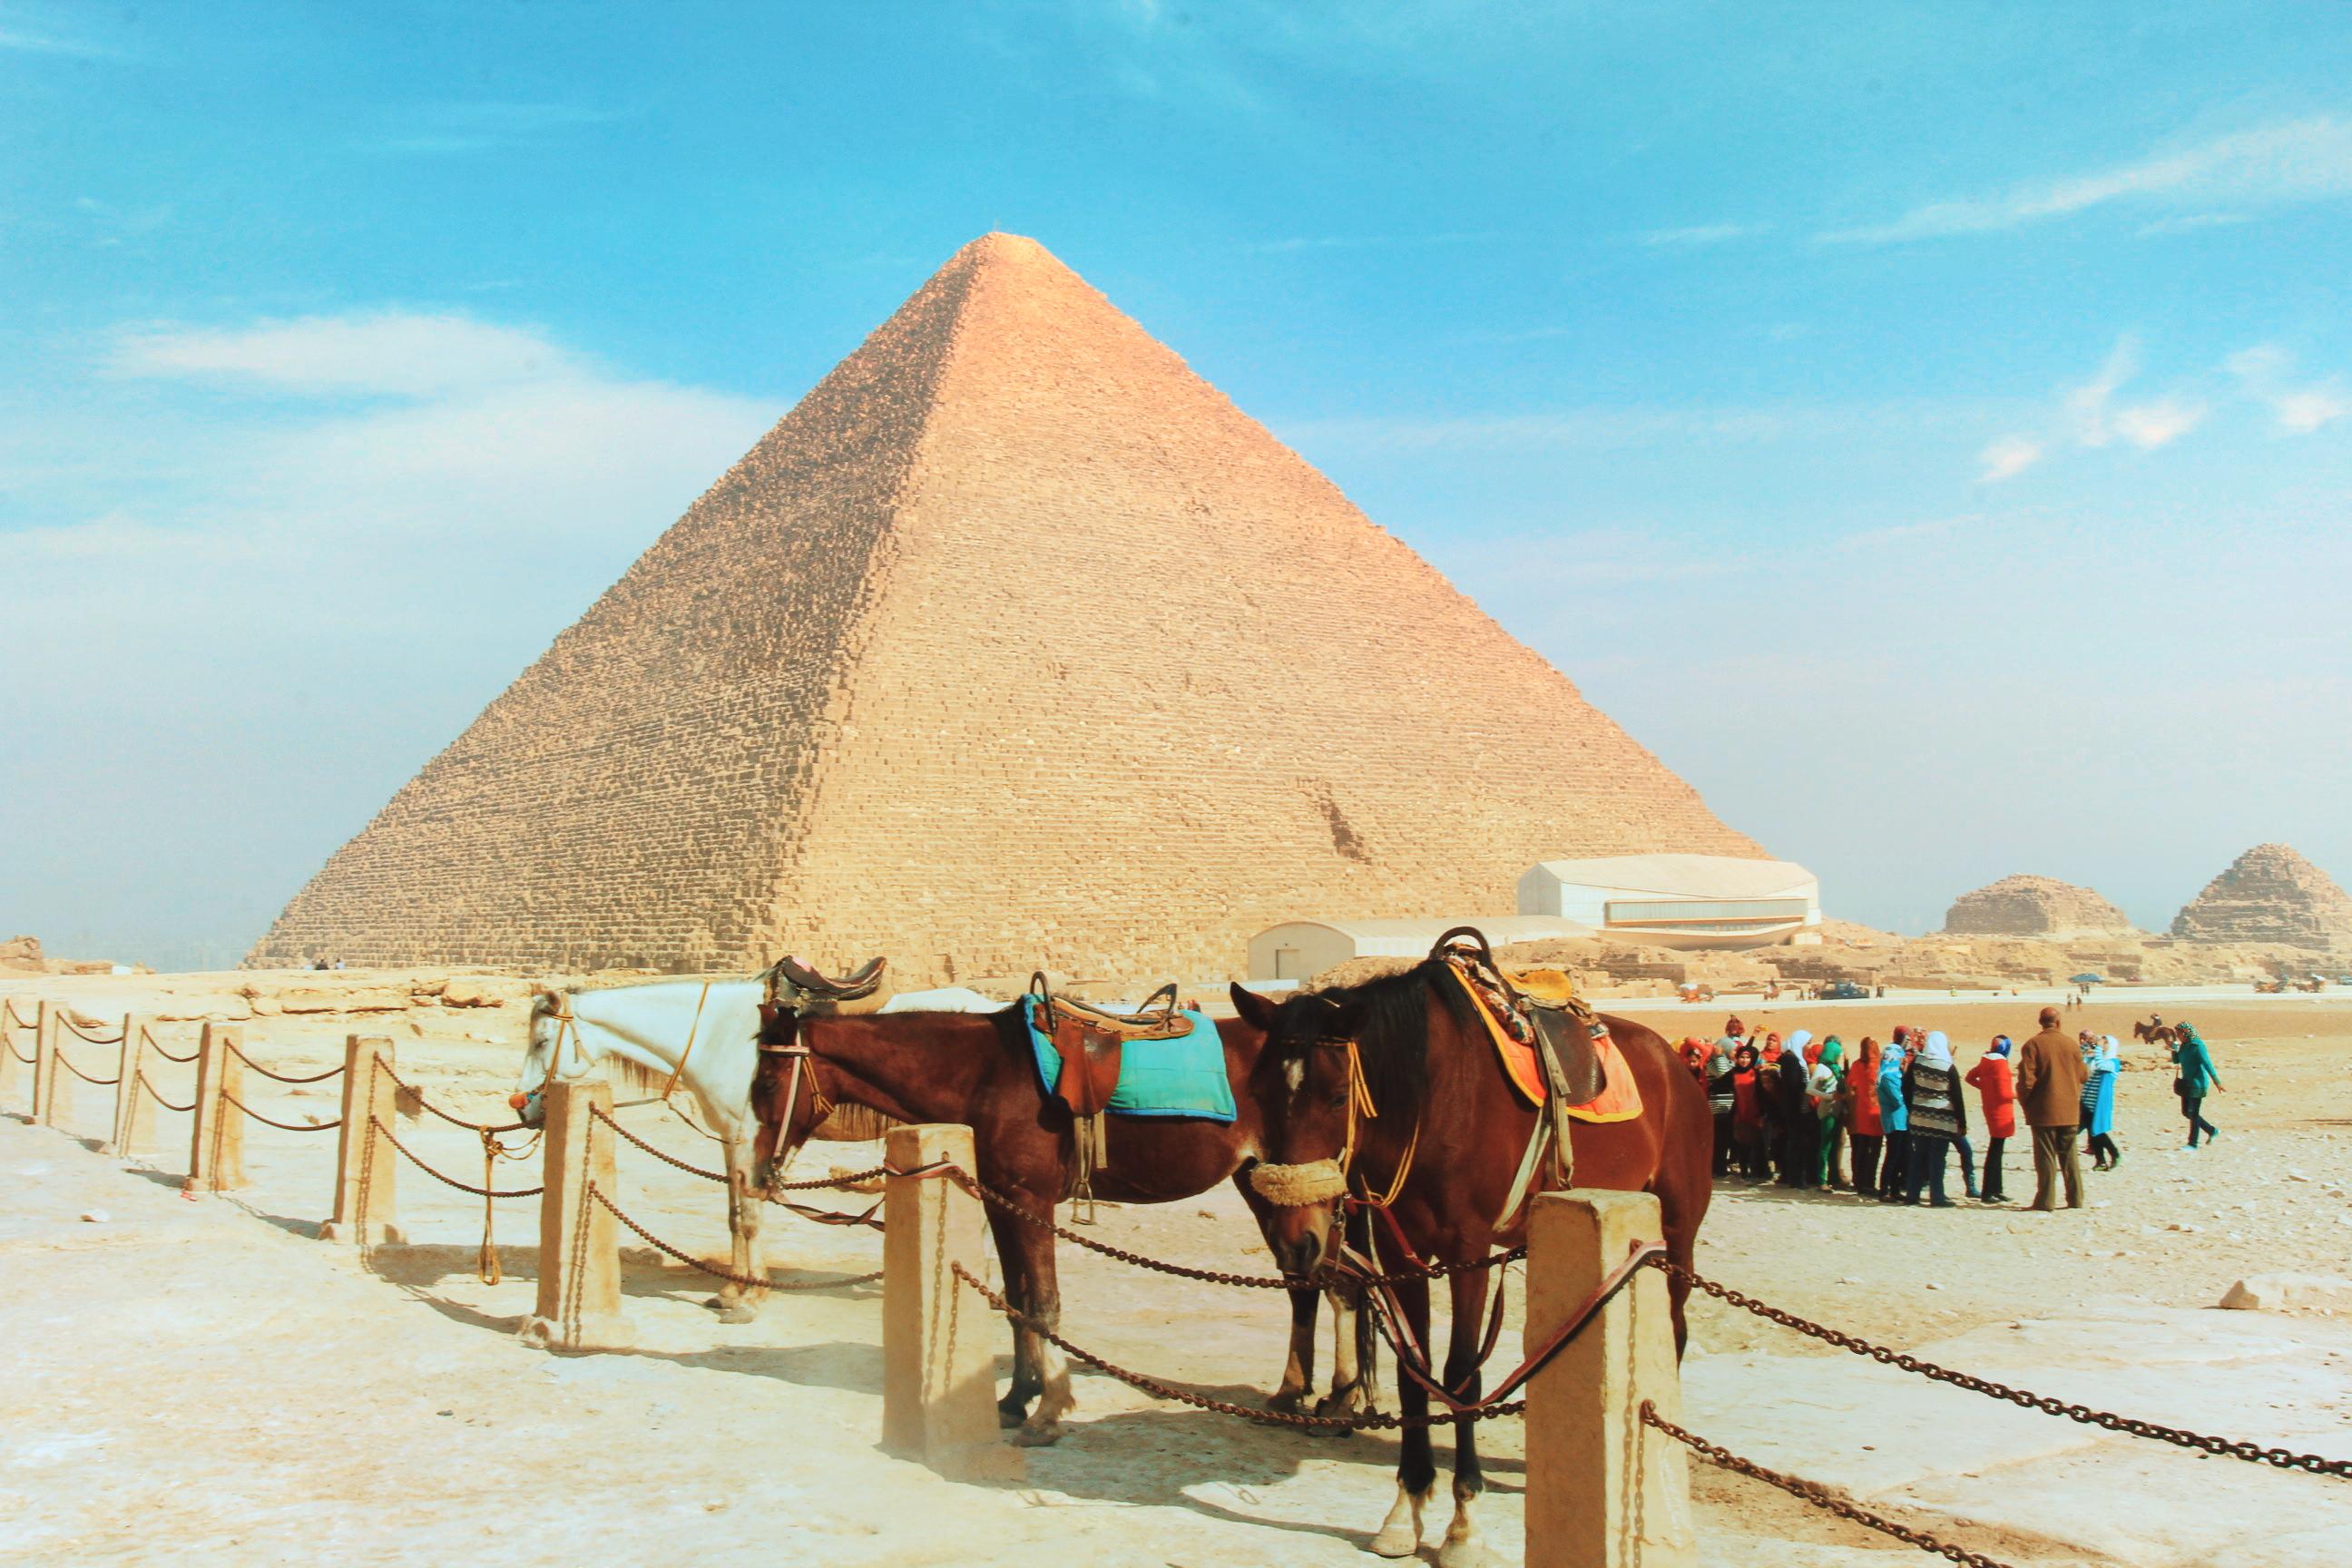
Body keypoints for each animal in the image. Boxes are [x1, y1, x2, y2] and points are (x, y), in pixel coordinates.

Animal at [514, 973, 907, 1316]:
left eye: (541, 1042)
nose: (520, 1104)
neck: (717, 1037)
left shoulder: (750, 1139)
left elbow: (750, 1218)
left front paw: (754, 1296)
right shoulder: (730, 1141)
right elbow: (734, 1217)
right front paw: (732, 1289)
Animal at [743, 1005, 1373, 1447]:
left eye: (766, 1085)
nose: (756, 1172)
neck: (984, 1075)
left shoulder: (1033, 1201)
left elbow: (1044, 1304)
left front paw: (1048, 1410)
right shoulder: (1001, 1201)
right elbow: (1017, 1300)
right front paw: (1016, 1398)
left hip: (1299, 1190)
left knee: (1338, 1282)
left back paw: (1334, 1401)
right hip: (1271, 1189)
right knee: (1314, 1282)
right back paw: (1303, 1399)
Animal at [1232, 968, 1711, 1568]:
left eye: (1338, 1096)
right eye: (1257, 1094)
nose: (1297, 1239)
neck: (1432, 1099)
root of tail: (1674, 1063)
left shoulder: (1469, 1250)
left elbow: (1461, 1372)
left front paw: (1464, 1525)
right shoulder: (1401, 1253)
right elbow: (1413, 1373)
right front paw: (1406, 1507)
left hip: (1675, 1235)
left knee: (1675, 1331)